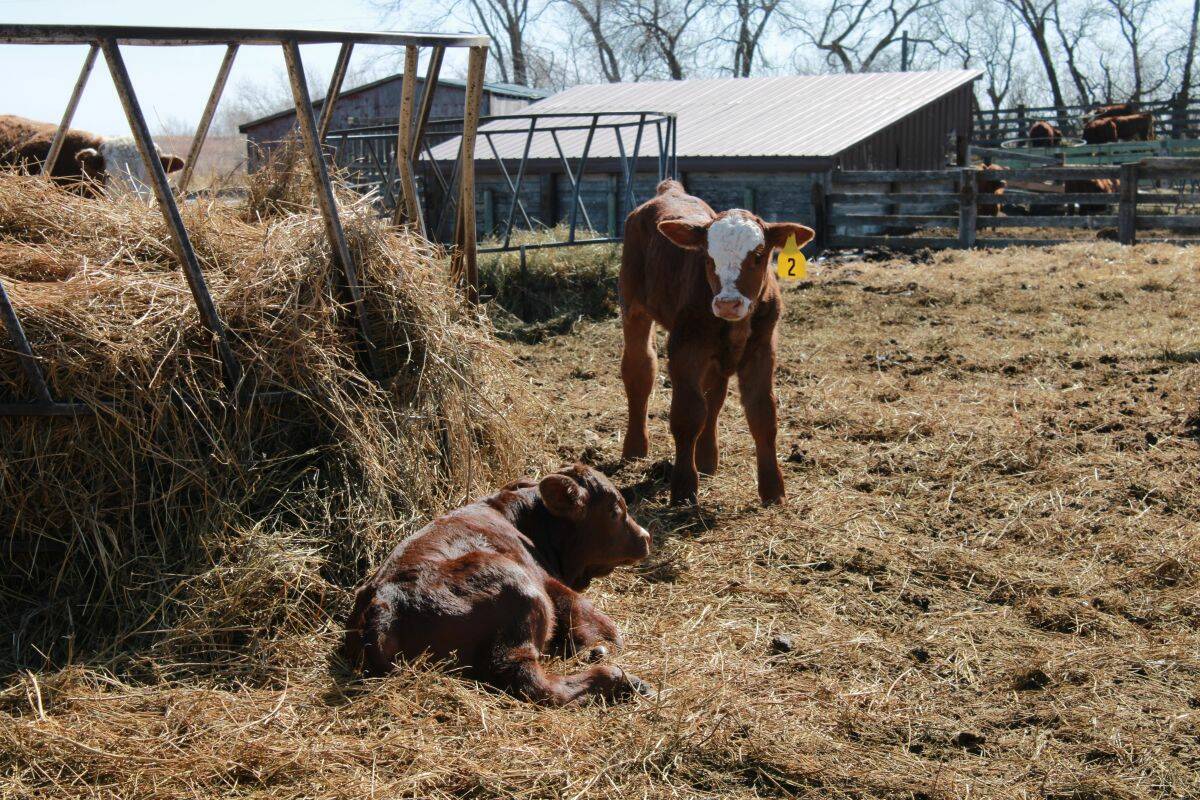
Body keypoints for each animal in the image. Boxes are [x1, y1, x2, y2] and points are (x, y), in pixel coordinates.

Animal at [342, 464, 653, 705]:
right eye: (614, 511)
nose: (646, 537)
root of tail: (384, 604)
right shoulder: (547, 581)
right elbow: (596, 619)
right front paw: (600, 647)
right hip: (521, 592)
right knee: (529, 679)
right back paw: (621, 680)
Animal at [619, 180, 813, 507]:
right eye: (708, 258)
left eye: (759, 255)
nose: (728, 303)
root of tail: (669, 190)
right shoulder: (685, 348)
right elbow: (687, 413)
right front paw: (683, 489)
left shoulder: (762, 350)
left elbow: (762, 413)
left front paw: (773, 490)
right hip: (633, 307)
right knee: (639, 371)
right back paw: (635, 448)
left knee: (713, 395)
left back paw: (707, 460)